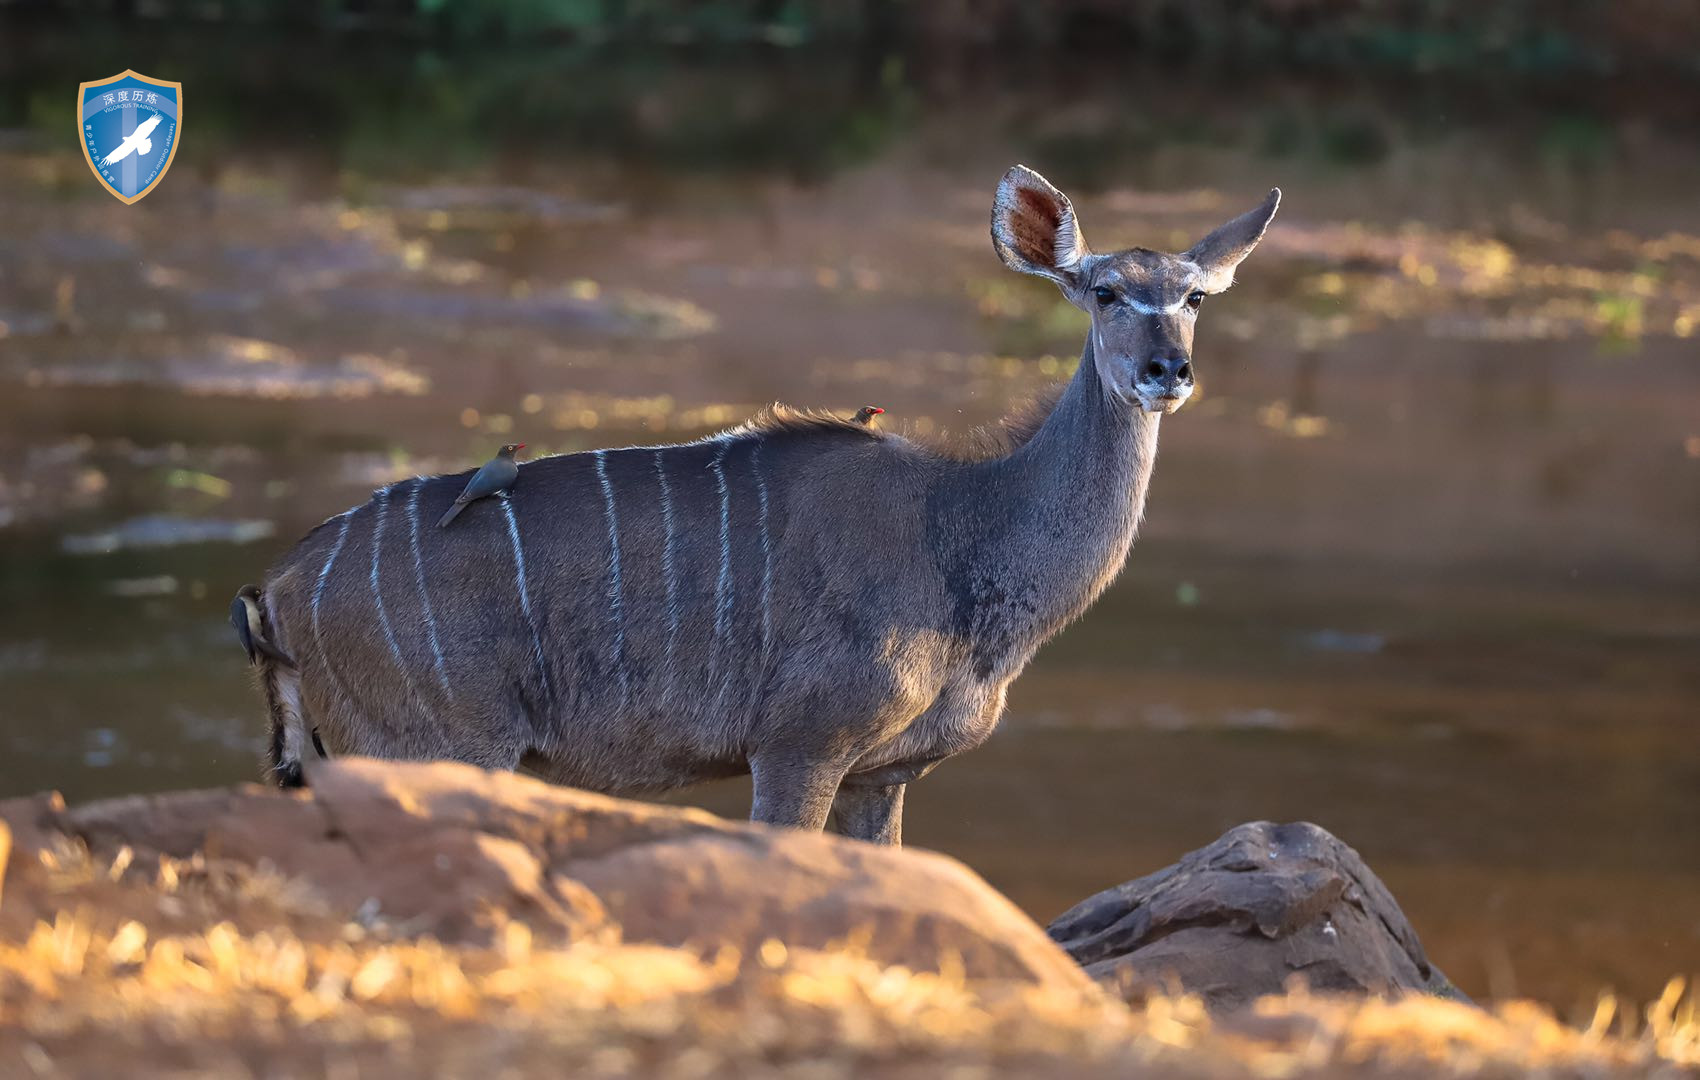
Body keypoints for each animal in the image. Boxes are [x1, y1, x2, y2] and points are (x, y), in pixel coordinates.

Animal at [248, 166, 1278, 843]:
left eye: (1193, 297)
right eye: (1104, 291)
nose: (1167, 371)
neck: (963, 537)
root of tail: (275, 591)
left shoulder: (884, 772)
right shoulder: (801, 743)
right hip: (440, 748)